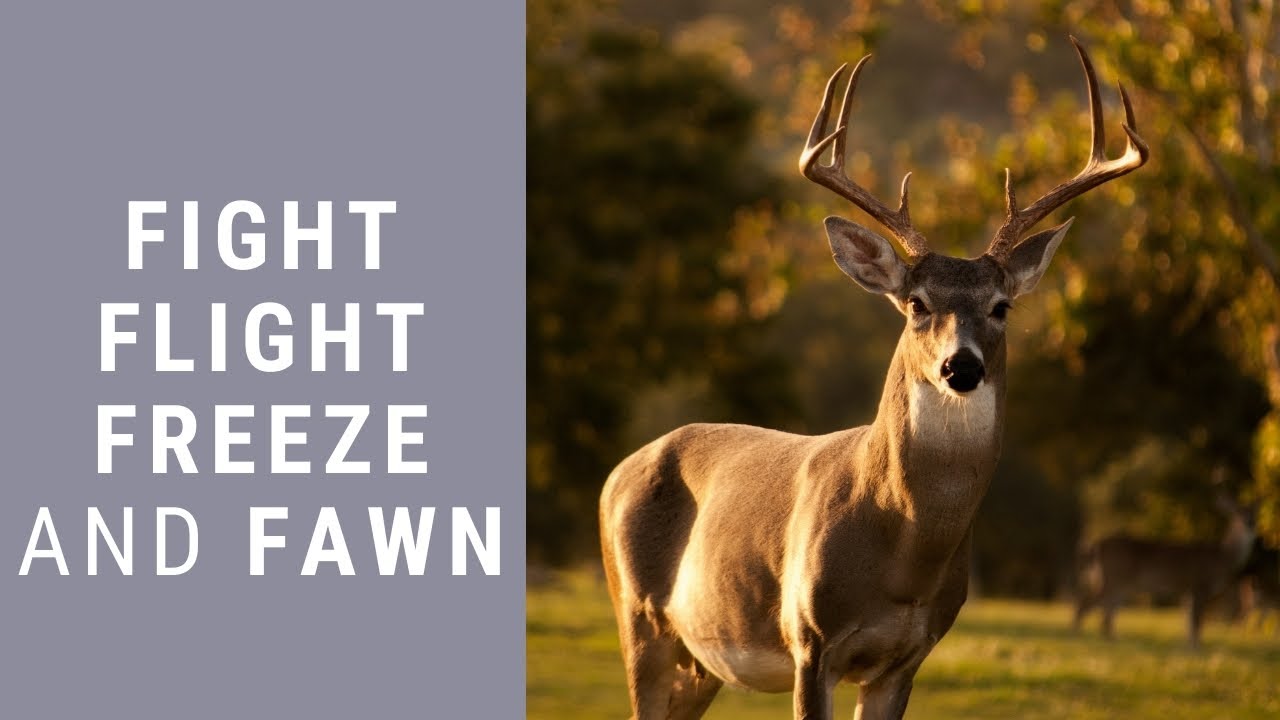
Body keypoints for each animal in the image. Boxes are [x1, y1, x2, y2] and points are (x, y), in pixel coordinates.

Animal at [599, 38, 1147, 720]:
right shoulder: (810, 641)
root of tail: (617, 473)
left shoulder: (906, 659)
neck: (902, 553)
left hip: (700, 661)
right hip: (639, 618)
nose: (961, 366)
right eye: (916, 303)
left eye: (1001, 306)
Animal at [1073, 492, 1257, 648]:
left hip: (1119, 584)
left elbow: (1189, 621)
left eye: (1254, 513)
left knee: (1106, 612)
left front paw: (1189, 647)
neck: (1223, 557)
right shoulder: (1199, 585)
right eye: (1238, 513)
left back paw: (1111, 639)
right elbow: (1196, 621)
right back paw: (1079, 635)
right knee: (1088, 604)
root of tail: (1095, 546)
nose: (1250, 523)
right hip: (1114, 578)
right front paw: (1197, 648)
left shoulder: (1188, 591)